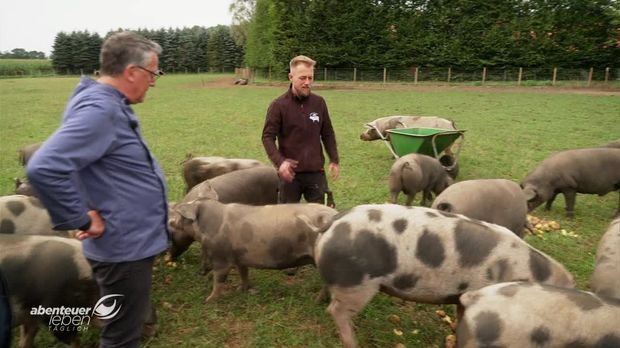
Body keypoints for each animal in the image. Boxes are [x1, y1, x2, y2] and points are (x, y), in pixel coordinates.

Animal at [167, 200, 336, 304]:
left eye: (179, 212)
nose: (169, 218)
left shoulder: (221, 258)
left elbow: (218, 280)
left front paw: (208, 301)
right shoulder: (240, 257)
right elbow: (244, 273)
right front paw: (241, 290)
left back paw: (315, 301)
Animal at [314, 204, 576, 348]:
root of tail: (332, 223)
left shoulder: (462, 297)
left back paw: (319, 300)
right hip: (357, 283)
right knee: (336, 311)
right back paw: (352, 342)